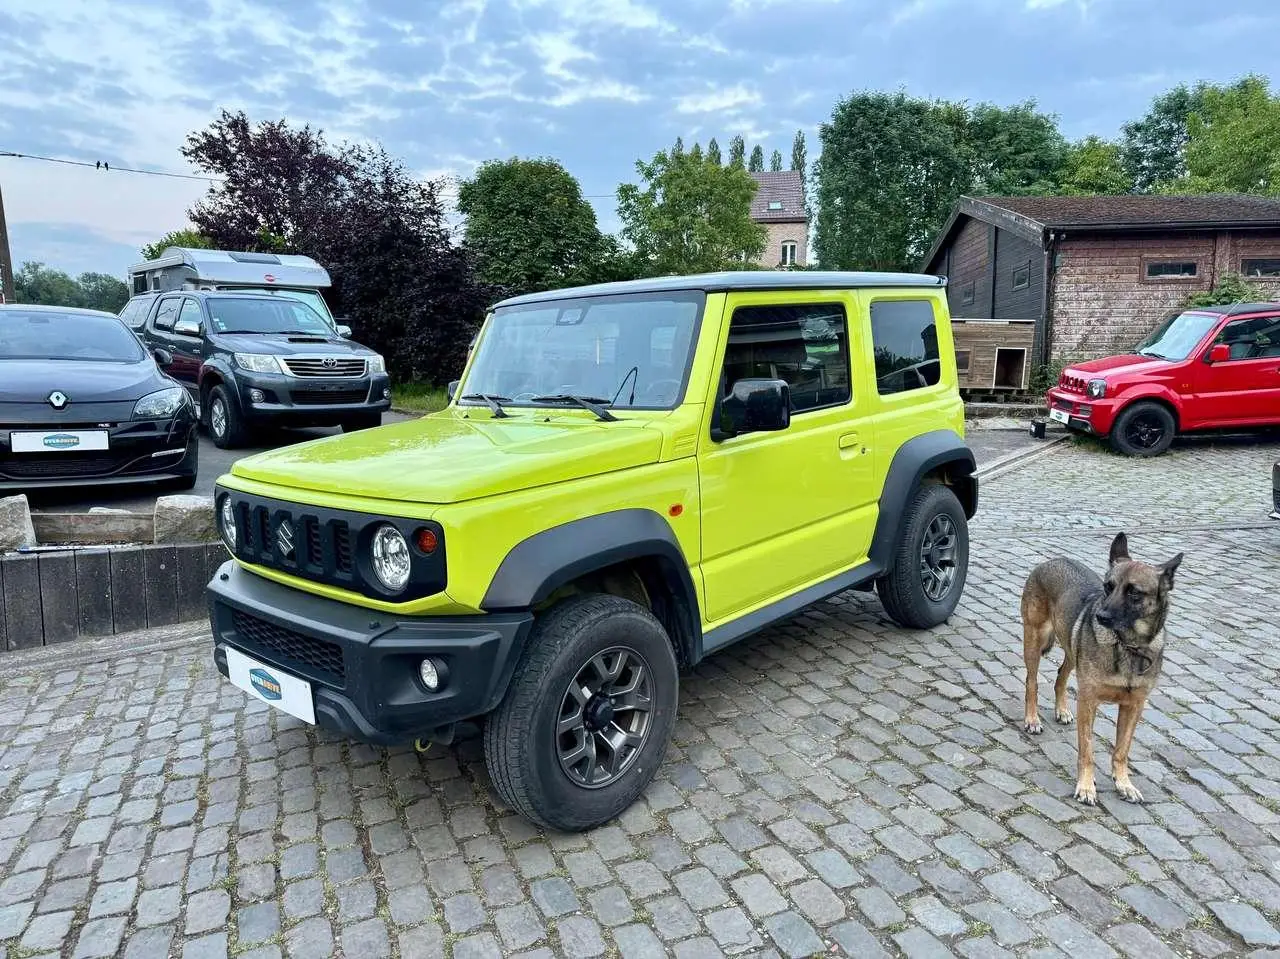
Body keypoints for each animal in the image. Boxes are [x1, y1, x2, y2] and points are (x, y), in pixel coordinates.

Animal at [1024, 535, 1182, 804]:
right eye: (1108, 586)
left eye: (1134, 593)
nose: (1100, 616)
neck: (1128, 645)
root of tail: (1051, 561)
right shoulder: (1088, 701)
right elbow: (1087, 749)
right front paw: (1086, 787)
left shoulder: (1134, 706)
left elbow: (1121, 750)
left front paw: (1124, 783)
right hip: (1034, 641)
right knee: (1031, 682)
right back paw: (1032, 719)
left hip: (1071, 650)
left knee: (1061, 676)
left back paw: (1061, 710)